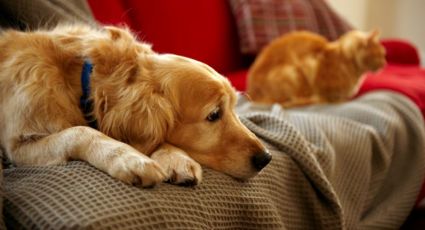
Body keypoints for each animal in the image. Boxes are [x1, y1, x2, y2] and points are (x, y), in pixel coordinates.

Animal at [0, 24, 270, 187]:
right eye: (214, 115)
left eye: (235, 107)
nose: (266, 158)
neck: (81, 80)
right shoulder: (19, 146)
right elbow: (80, 131)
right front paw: (129, 158)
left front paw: (176, 159)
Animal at [247, 29, 386, 107]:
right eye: (380, 55)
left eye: (383, 55)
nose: (384, 63)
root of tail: (251, 94)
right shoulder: (312, 67)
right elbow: (332, 97)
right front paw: (336, 100)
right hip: (292, 73)